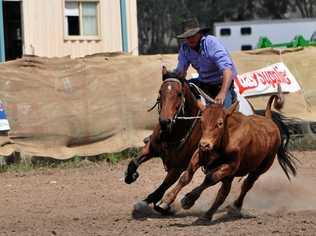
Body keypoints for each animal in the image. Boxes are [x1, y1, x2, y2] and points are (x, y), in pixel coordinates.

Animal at [160, 91, 296, 225]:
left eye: (220, 123)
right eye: (201, 121)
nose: (204, 144)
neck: (225, 140)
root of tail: (268, 119)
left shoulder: (229, 166)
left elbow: (209, 179)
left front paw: (188, 200)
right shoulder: (198, 156)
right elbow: (186, 177)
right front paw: (166, 200)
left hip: (259, 169)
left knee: (245, 185)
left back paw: (230, 208)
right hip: (230, 176)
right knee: (223, 193)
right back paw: (208, 215)